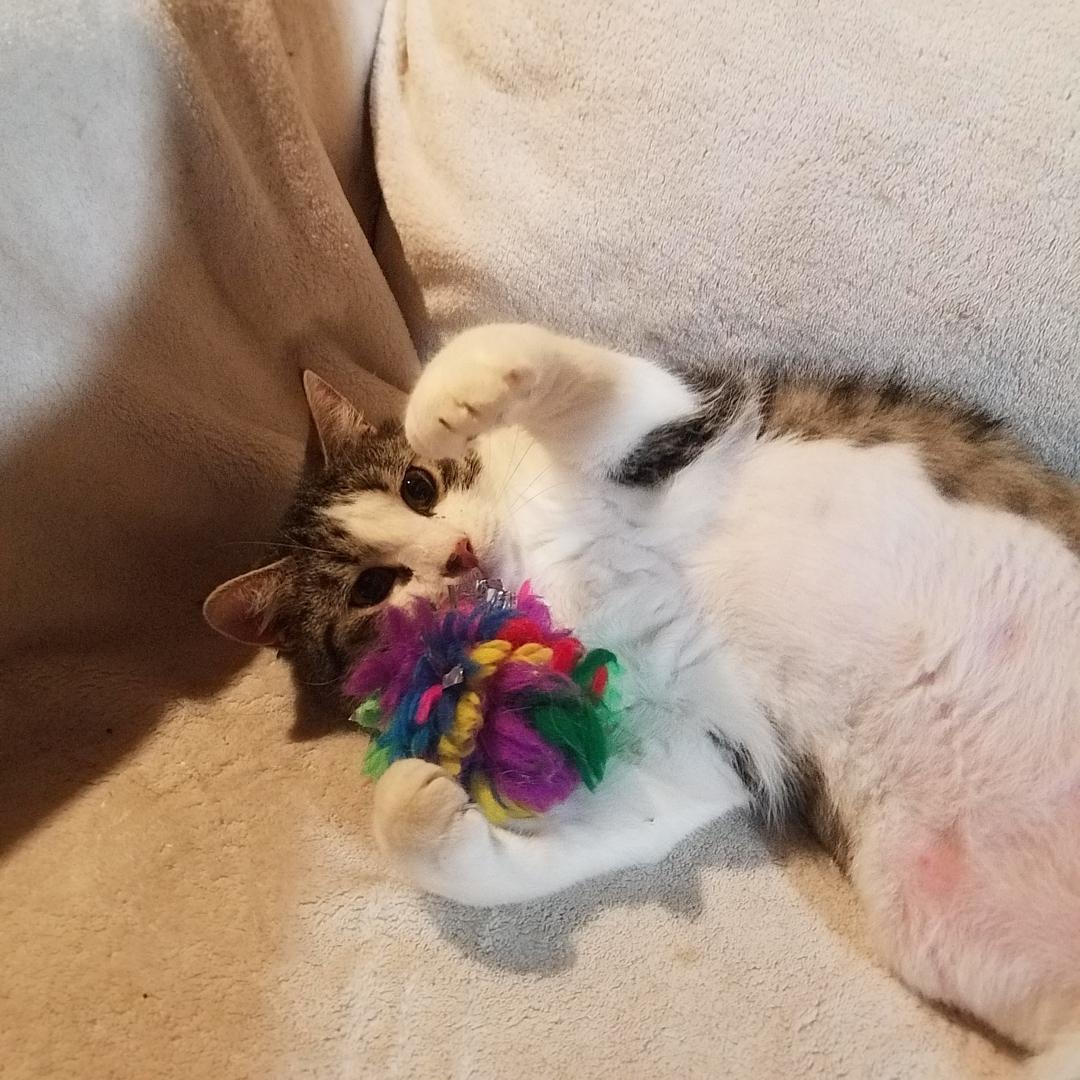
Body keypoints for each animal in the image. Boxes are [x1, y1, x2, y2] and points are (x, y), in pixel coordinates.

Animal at [204, 324, 1080, 1075]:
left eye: (418, 486)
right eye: (370, 588)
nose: (456, 553)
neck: (549, 572)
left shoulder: (666, 423)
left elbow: (564, 368)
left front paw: (449, 395)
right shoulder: (689, 744)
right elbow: (603, 832)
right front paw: (420, 807)